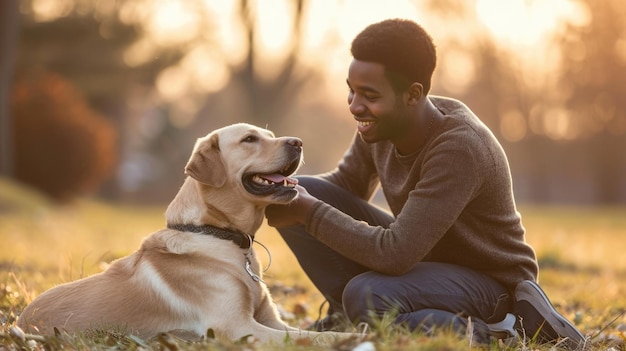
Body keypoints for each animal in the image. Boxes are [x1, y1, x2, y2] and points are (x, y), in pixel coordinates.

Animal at [17, 124, 354, 346]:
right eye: (250, 139)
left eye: (270, 136)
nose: (298, 142)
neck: (220, 236)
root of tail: (19, 322)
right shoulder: (237, 328)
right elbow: (316, 340)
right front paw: (353, 337)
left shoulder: (270, 320)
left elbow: (310, 334)